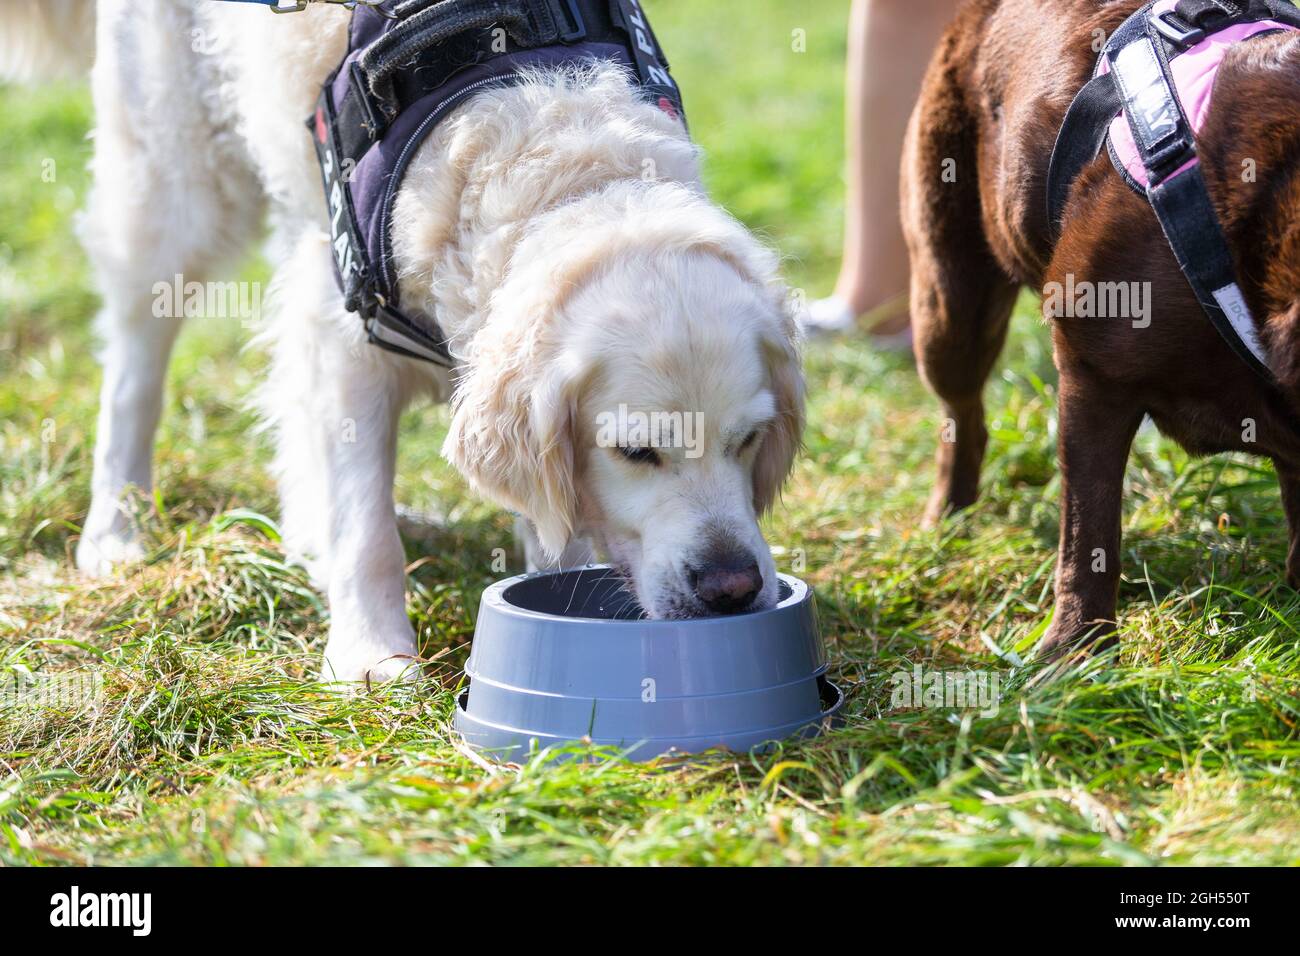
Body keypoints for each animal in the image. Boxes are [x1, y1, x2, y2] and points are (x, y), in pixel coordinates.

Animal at [2, 1, 800, 686]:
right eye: (635, 451)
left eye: (749, 440)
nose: (732, 586)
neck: (573, 180)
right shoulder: (350, 340)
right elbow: (366, 530)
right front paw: (370, 655)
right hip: (173, 191)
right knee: (135, 371)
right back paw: (116, 528)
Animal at [899, 0, 1300, 658]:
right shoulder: (1093, 379)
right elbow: (1089, 533)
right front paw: (1074, 651)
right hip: (950, 295)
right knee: (962, 411)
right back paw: (948, 518)